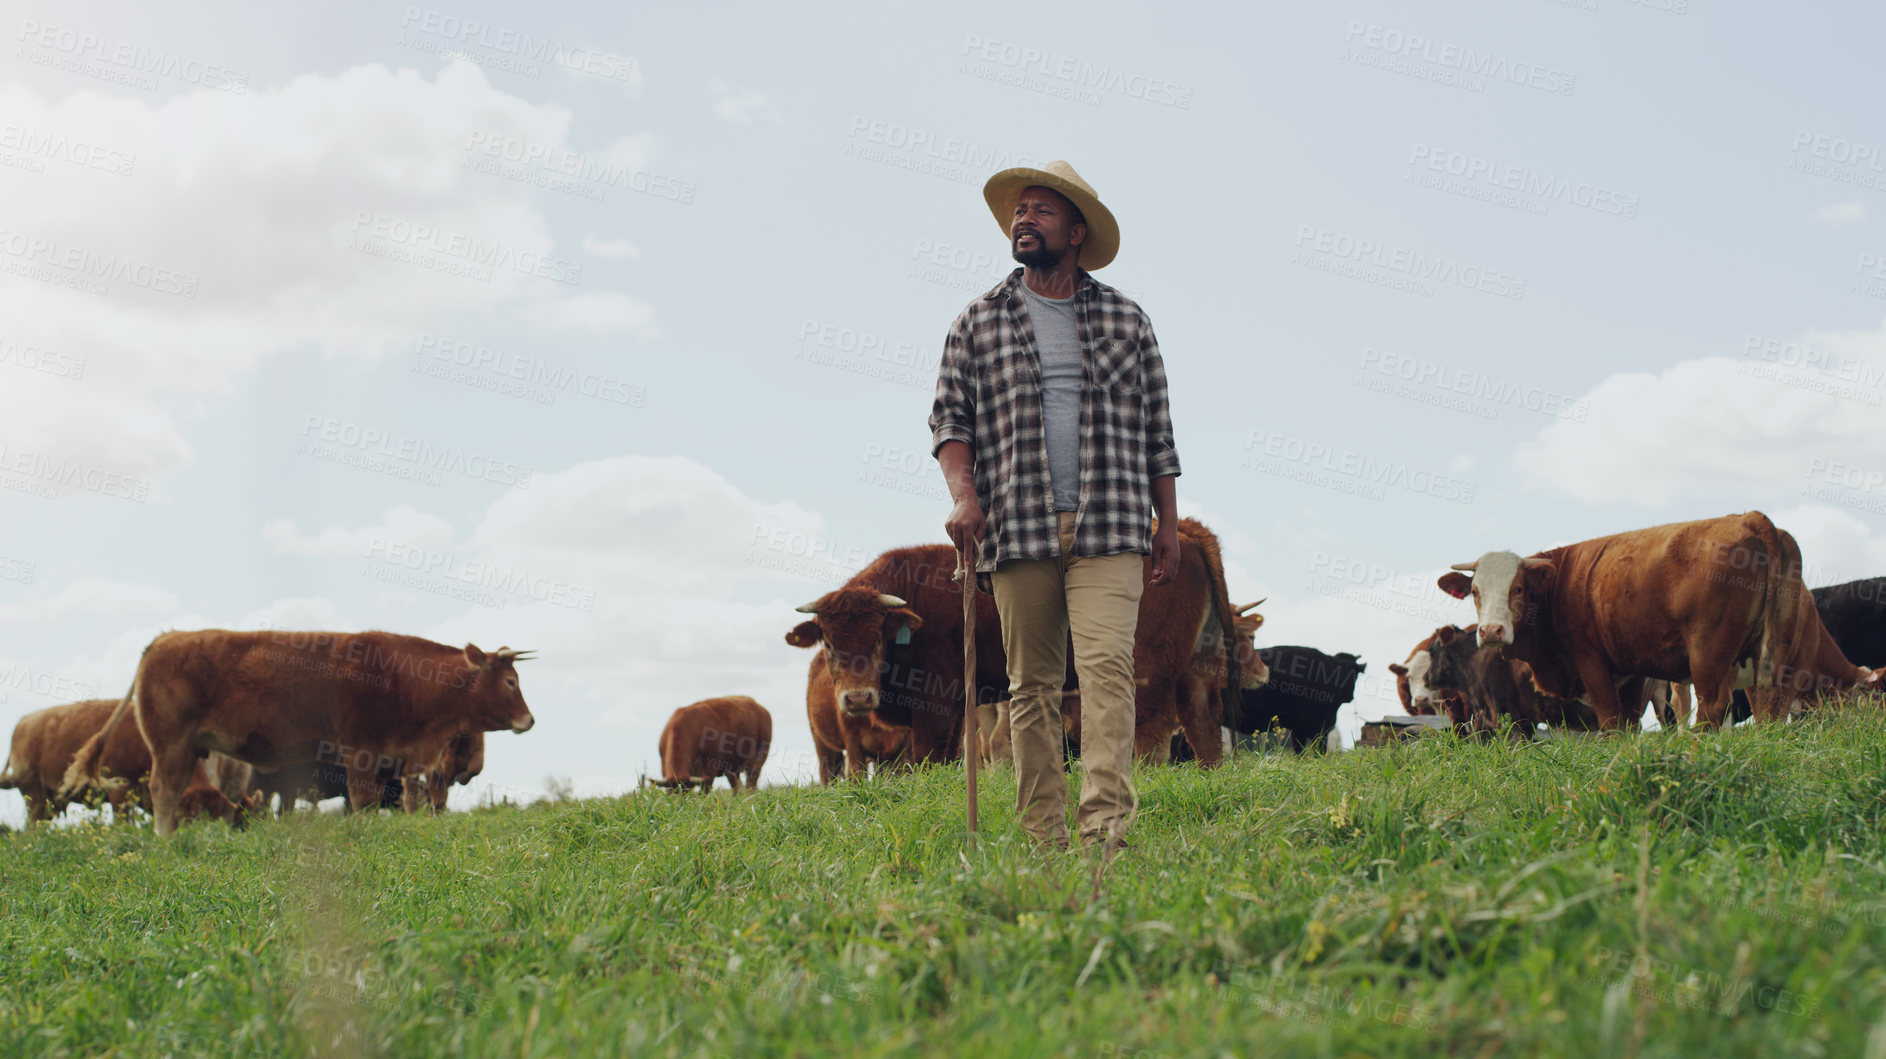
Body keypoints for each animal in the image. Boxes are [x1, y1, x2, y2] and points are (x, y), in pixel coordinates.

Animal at [62, 625, 535, 832]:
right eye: (511, 682)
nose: (529, 720)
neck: (402, 678)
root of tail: (166, 638)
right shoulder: (360, 753)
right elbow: (362, 801)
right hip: (169, 744)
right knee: (163, 791)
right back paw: (165, 840)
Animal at [1440, 508, 1870, 723]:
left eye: (1517, 588)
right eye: (1475, 592)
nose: (1491, 631)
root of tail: (1751, 517)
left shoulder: (1591, 663)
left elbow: (1611, 720)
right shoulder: (1631, 671)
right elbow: (1628, 722)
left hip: (1710, 653)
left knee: (1713, 707)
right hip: (1768, 657)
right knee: (1769, 704)